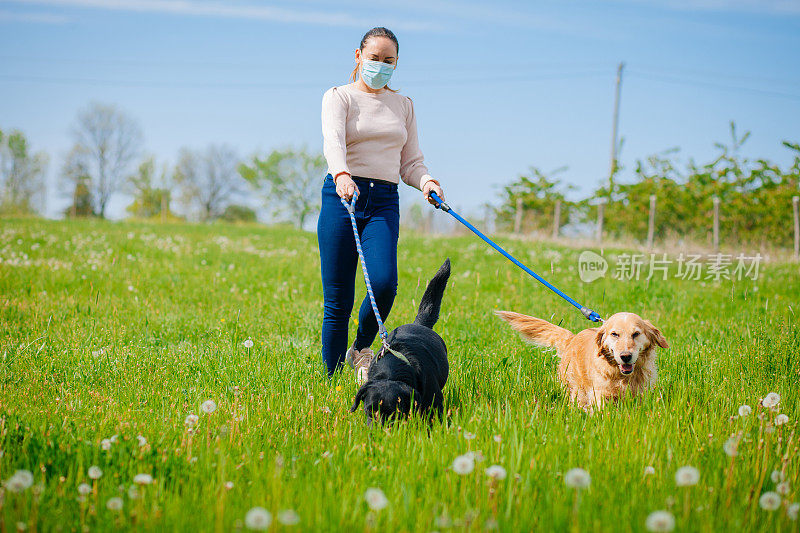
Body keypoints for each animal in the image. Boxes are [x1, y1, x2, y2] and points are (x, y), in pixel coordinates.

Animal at [350, 258, 450, 424]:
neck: (391, 371)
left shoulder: (434, 401)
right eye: (369, 411)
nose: (378, 429)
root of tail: (418, 323)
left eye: (394, 413)